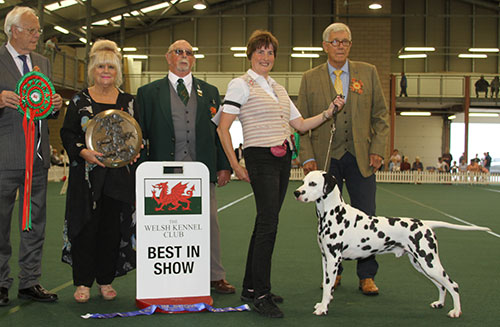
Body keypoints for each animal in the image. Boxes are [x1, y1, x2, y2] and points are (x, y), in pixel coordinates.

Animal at [294, 170, 490, 320]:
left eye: (312, 183)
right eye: (303, 181)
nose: (297, 192)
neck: (334, 213)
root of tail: (426, 224)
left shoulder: (334, 259)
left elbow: (328, 287)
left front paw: (323, 309)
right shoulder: (325, 259)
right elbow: (328, 286)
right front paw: (324, 304)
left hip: (430, 263)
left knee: (453, 285)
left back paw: (456, 311)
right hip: (421, 265)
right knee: (442, 285)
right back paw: (439, 303)